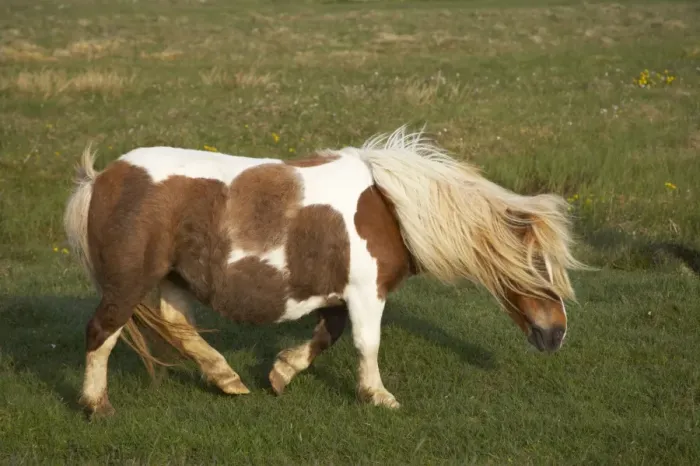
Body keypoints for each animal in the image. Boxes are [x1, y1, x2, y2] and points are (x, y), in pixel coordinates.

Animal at [63, 126, 585, 418]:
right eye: (537, 265)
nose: (557, 334)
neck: (390, 208)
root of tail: (103, 178)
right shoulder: (367, 292)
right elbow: (366, 343)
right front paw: (378, 396)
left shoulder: (342, 294)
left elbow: (326, 336)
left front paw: (281, 373)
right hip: (129, 284)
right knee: (100, 334)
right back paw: (96, 405)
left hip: (175, 279)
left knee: (177, 326)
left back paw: (227, 378)